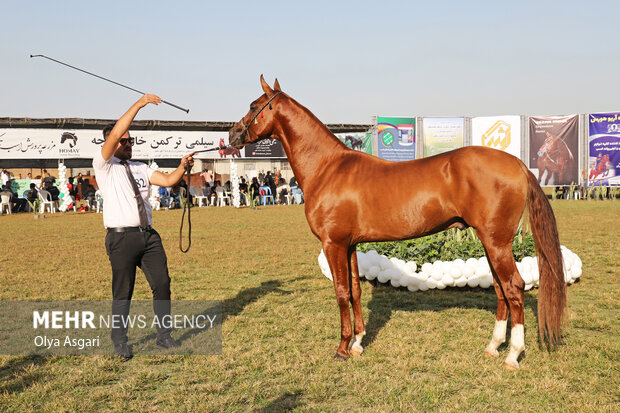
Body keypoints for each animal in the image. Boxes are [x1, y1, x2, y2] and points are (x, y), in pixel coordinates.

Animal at [229, 75, 568, 368]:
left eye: (253, 105)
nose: (232, 134)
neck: (327, 167)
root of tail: (517, 163)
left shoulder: (333, 244)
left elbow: (341, 292)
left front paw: (342, 348)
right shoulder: (349, 245)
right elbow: (355, 290)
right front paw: (358, 343)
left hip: (497, 244)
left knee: (514, 288)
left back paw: (513, 355)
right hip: (491, 243)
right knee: (500, 290)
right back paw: (493, 346)